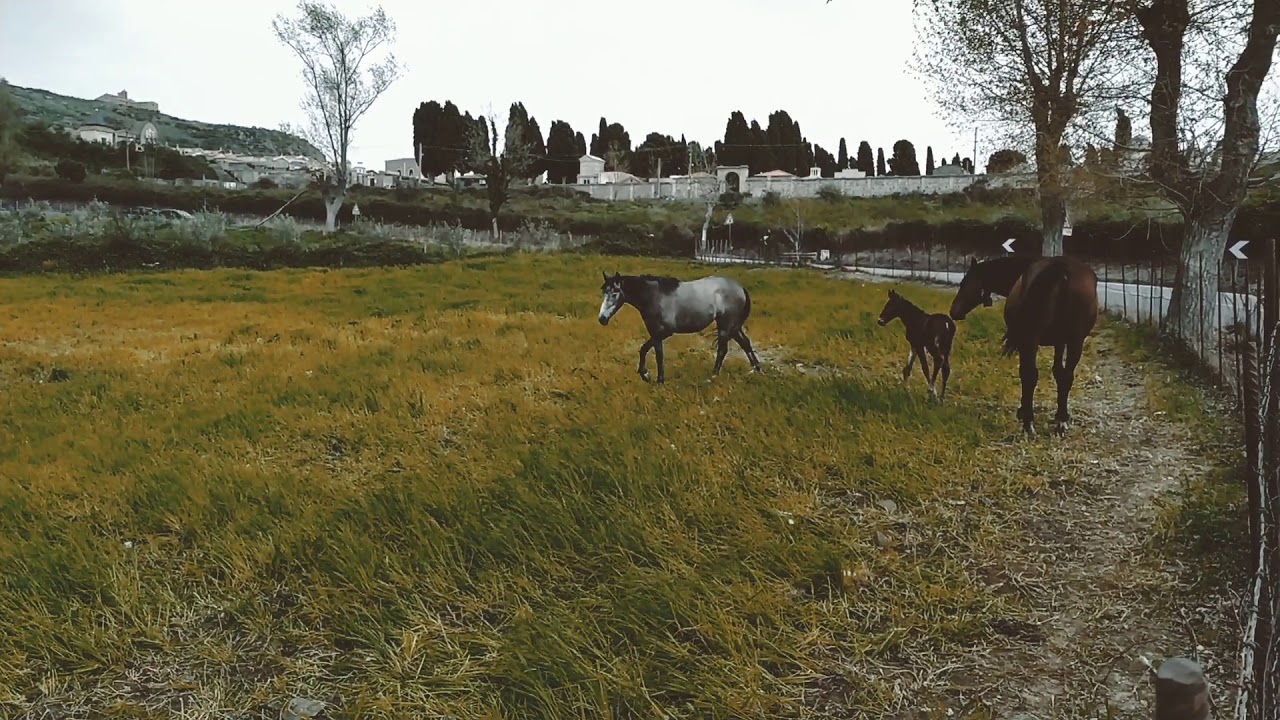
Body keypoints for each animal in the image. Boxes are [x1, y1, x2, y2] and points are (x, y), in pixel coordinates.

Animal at [597, 271, 762, 383]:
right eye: (604, 292)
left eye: (614, 293)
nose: (602, 319)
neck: (654, 296)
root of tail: (740, 288)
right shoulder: (655, 333)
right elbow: (656, 354)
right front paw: (656, 379)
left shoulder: (664, 332)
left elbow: (647, 350)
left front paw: (648, 376)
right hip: (732, 327)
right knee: (745, 343)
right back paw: (757, 370)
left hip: (726, 326)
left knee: (723, 350)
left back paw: (712, 376)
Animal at [949, 255, 1100, 437]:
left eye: (964, 283)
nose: (953, 311)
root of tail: (1060, 268)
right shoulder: (1059, 342)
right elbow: (1058, 373)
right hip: (1073, 341)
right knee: (1064, 375)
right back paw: (1060, 421)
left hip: (1034, 339)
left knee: (1031, 375)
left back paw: (1030, 422)